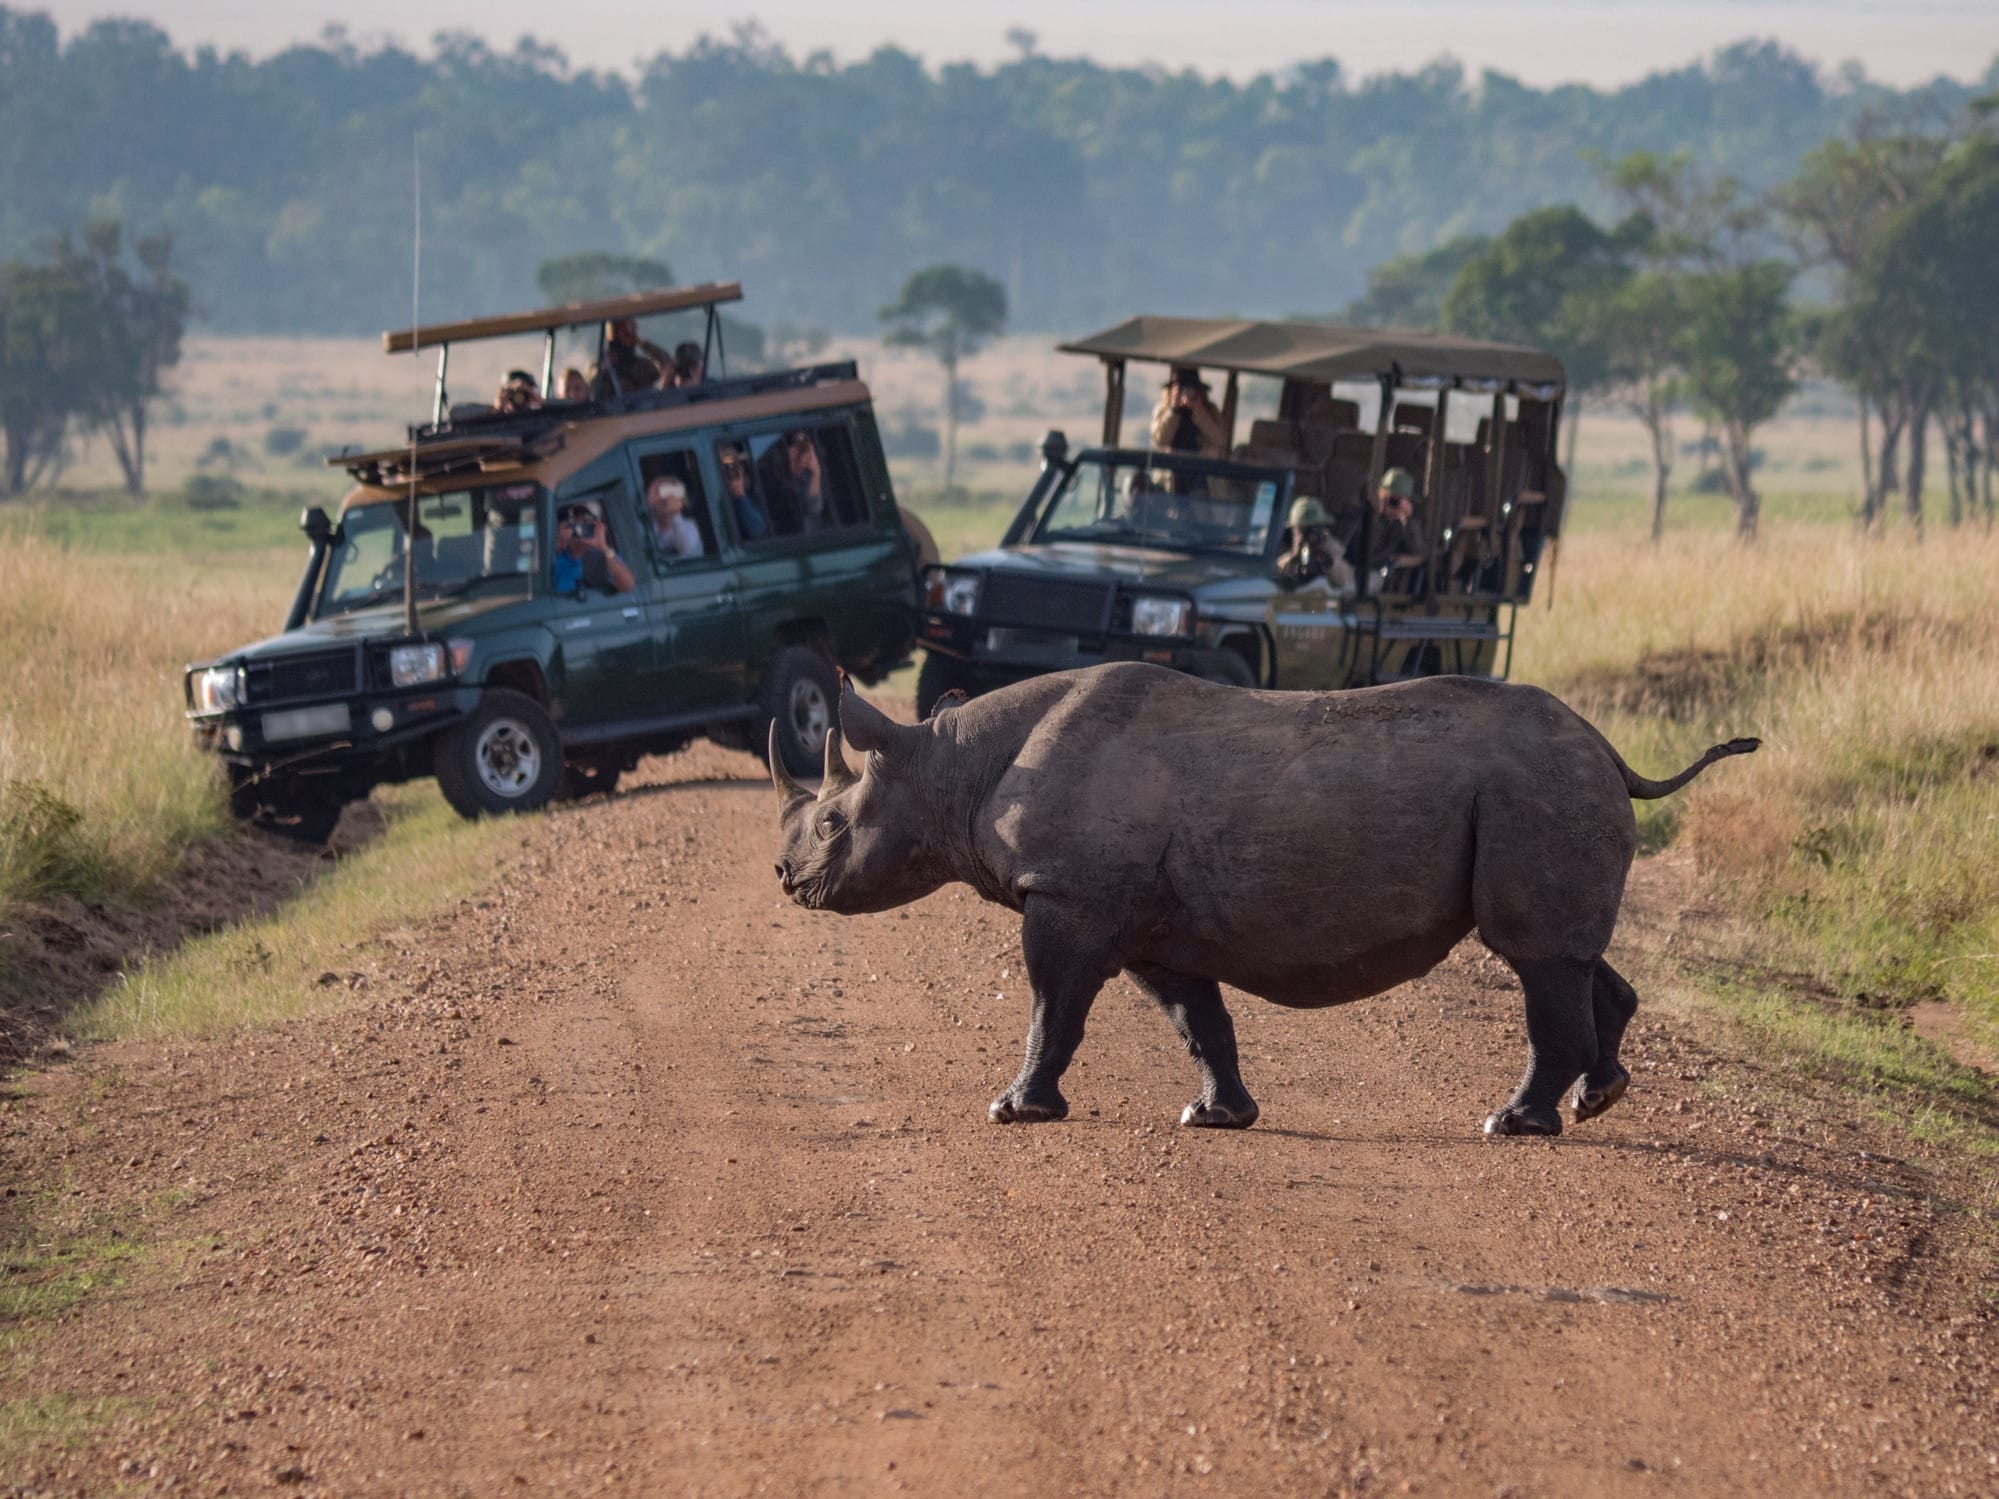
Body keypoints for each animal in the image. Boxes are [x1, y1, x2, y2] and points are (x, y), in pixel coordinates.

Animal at [769, 663, 1757, 1137]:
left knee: (1535, 958)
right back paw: (1600, 1098)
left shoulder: (1071, 897)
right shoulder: (1144, 923)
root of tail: (1610, 750)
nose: (783, 878)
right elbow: (1196, 1019)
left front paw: (1016, 1110)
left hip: (1537, 787)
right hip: (1549, 787)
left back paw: (1514, 1125)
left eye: (832, 824)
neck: (951, 765)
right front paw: (1218, 1117)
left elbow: (1052, 1007)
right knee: (1569, 955)